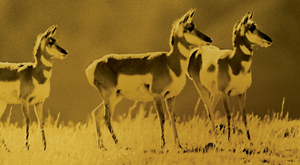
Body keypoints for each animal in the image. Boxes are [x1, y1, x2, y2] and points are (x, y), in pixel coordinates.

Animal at [85, 8, 212, 150]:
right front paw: (163, 145)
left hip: (115, 97)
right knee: (106, 117)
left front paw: (178, 145)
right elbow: (162, 118)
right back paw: (119, 144)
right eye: (189, 27)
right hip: (110, 97)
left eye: (195, 25)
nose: (209, 39)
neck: (170, 63)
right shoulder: (157, 96)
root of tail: (94, 66)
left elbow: (172, 118)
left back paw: (102, 146)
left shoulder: (170, 97)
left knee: (96, 113)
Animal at [189, 12, 274, 141]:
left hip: (215, 93)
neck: (233, 62)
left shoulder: (242, 93)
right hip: (202, 89)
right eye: (251, 27)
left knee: (211, 108)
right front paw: (229, 139)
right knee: (209, 110)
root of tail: (196, 51)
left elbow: (244, 115)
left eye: (256, 25)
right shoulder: (225, 94)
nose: (269, 39)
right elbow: (228, 115)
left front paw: (250, 140)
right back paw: (216, 138)